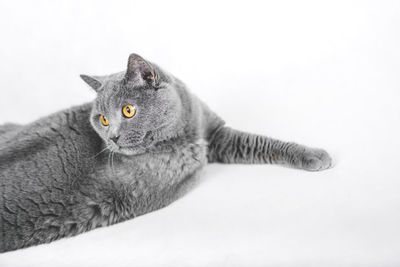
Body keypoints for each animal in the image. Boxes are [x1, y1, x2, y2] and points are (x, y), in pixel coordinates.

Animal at [0, 52, 332, 253]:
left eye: (128, 110)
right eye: (103, 119)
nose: (113, 137)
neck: (183, 132)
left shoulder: (216, 134)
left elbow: (260, 141)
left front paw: (314, 154)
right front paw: (318, 156)